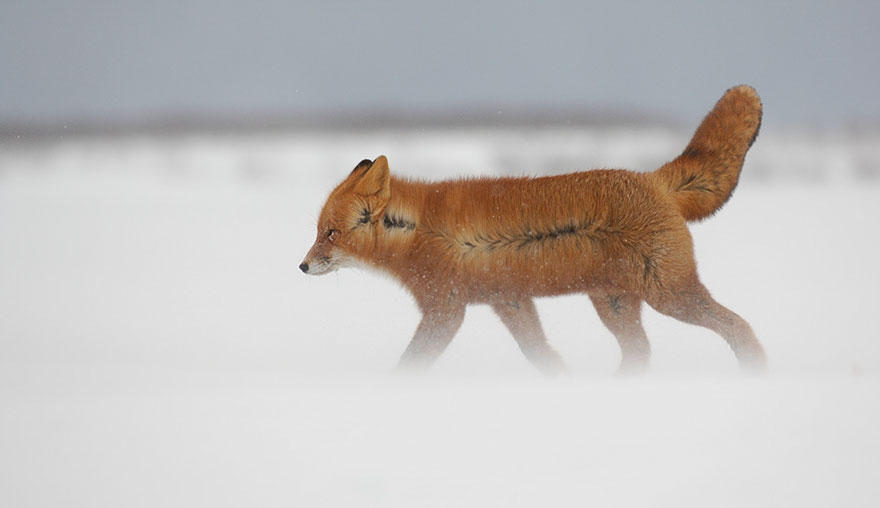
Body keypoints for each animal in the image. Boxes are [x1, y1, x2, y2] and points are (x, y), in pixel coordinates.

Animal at [300, 85, 767, 375]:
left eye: (330, 234)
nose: (302, 266)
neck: (417, 232)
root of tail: (652, 179)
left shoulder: (446, 310)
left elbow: (410, 363)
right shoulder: (509, 300)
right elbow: (540, 353)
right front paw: (561, 380)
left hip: (669, 295)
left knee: (740, 325)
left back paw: (757, 373)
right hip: (615, 304)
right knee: (641, 354)